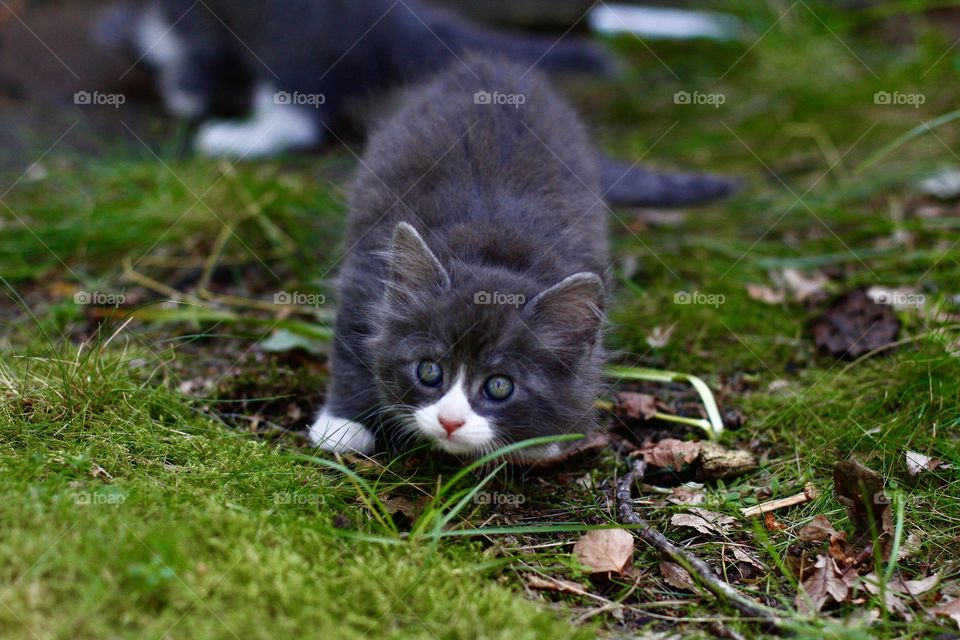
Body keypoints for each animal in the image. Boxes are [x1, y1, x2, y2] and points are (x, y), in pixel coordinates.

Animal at [312, 53, 604, 456]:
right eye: (429, 370)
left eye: (499, 386)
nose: (450, 421)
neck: (495, 247)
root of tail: (489, 64)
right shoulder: (366, 269)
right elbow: (352, 339)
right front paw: (343, 424)